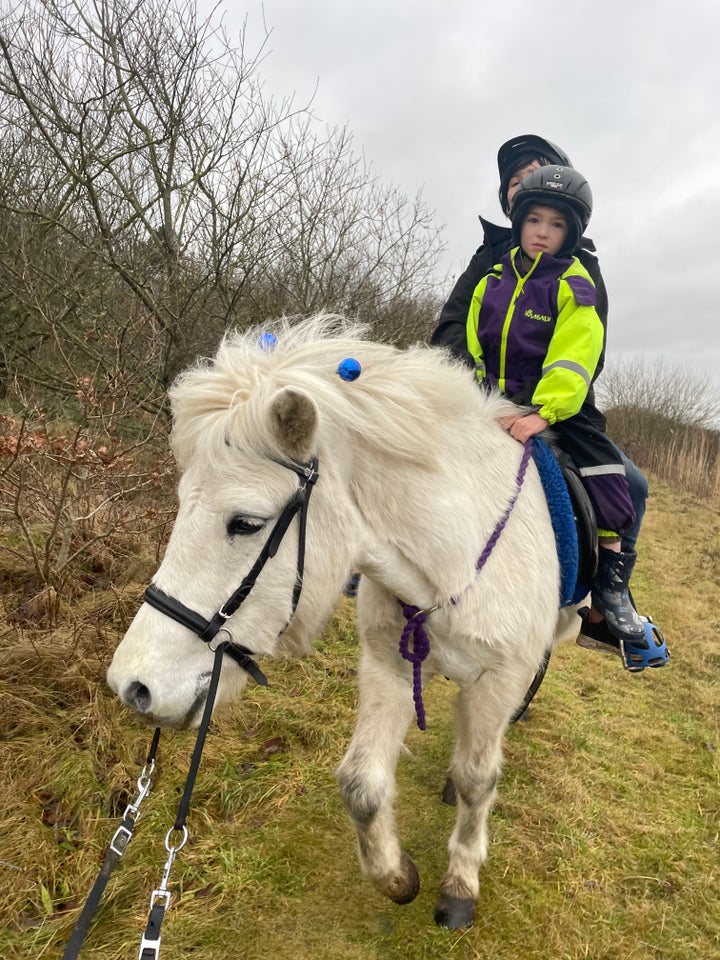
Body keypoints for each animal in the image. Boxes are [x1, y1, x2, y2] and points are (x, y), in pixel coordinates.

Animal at [105, 316, 580, 928]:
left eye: (246, 522)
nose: (133, 686)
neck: (451, 562)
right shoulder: (390, 665)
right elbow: (361, 785)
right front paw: (397, 877)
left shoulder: (499, 678)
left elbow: (480, 780)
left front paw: (460, 882)